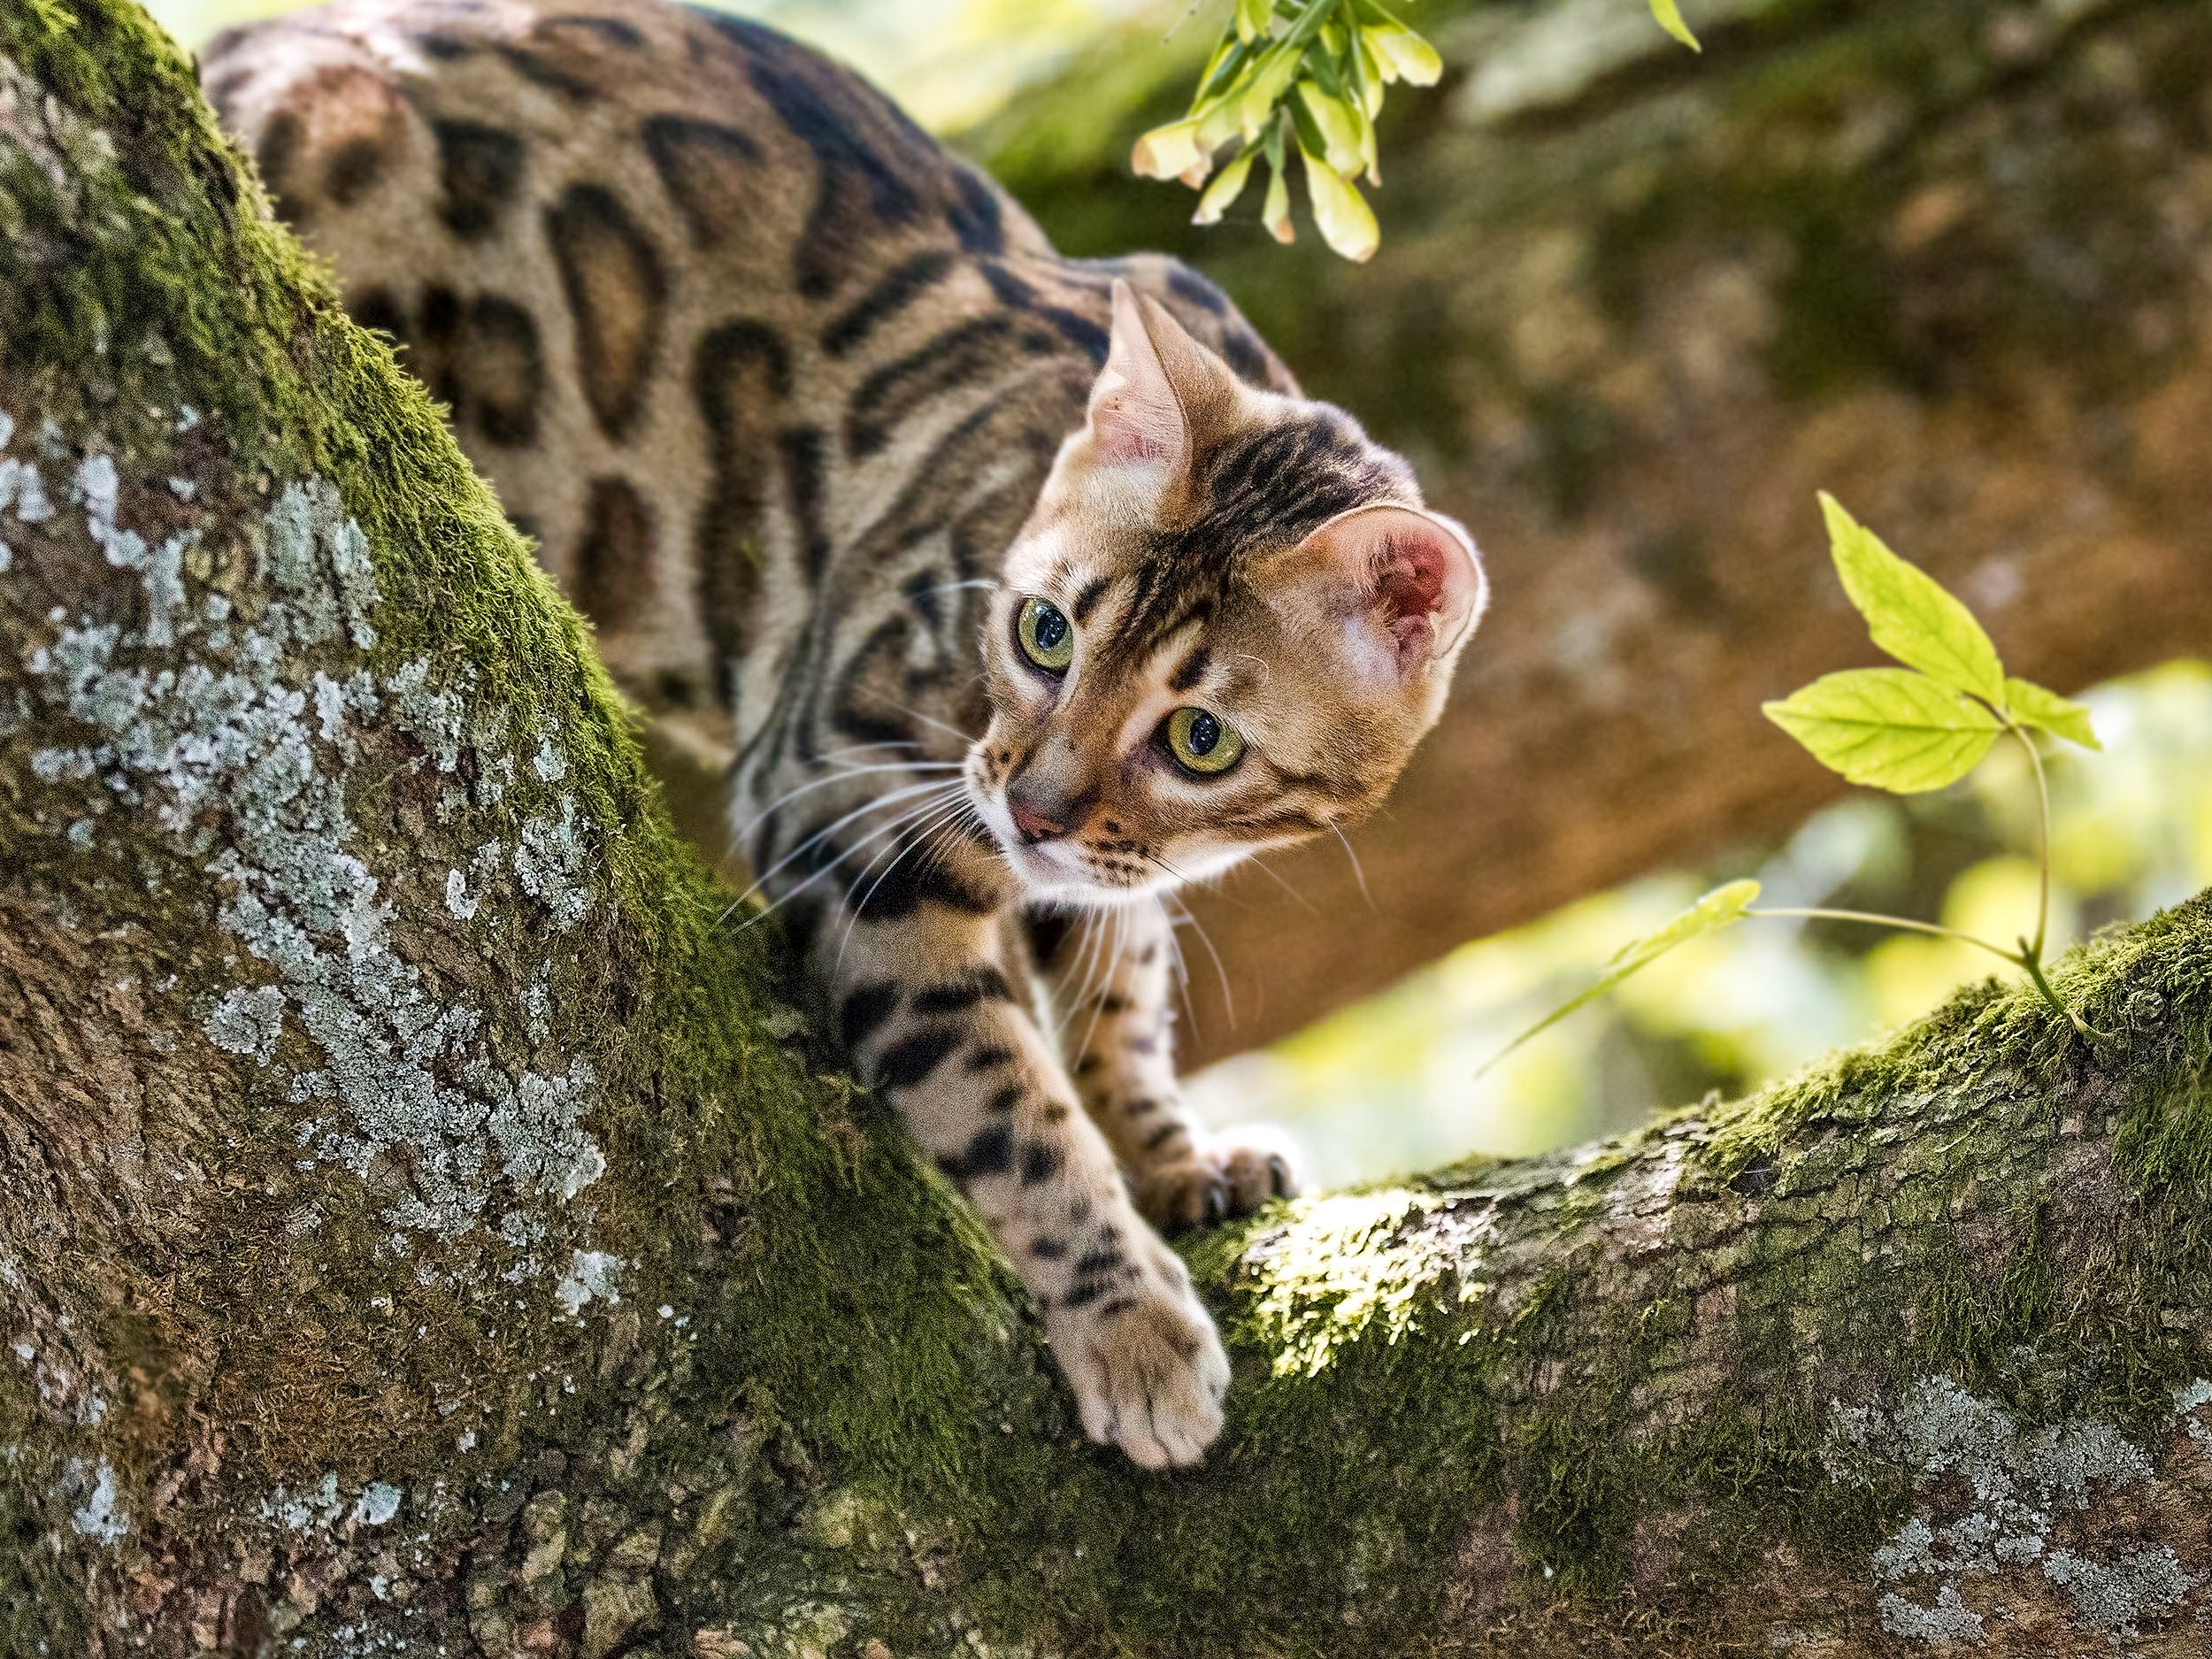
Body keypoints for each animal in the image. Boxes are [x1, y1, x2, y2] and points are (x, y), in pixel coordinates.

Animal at [208, 0, 1486, 1478]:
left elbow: (1123, 984)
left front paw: (1172, 1153)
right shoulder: (848, 798)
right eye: (1044, 631)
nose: (1032, 810)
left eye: (1203, 738)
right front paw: (1128, 1316)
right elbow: (999, 1094)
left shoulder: (1091, 862)